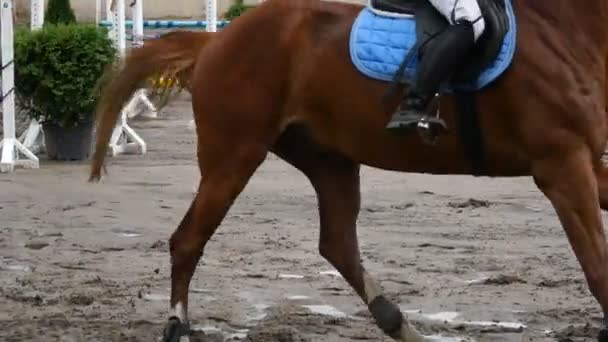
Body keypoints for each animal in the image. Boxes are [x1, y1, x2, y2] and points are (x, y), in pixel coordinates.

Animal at [89, 0, 608, 340]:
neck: (566, 27)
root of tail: (218, 39)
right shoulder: (562, 166)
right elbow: (597, 266)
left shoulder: (587, 161)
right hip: (233, 157)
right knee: (188, 239)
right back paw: (178, 324)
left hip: (329, 161)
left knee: (336, 242)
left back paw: (397, 322)